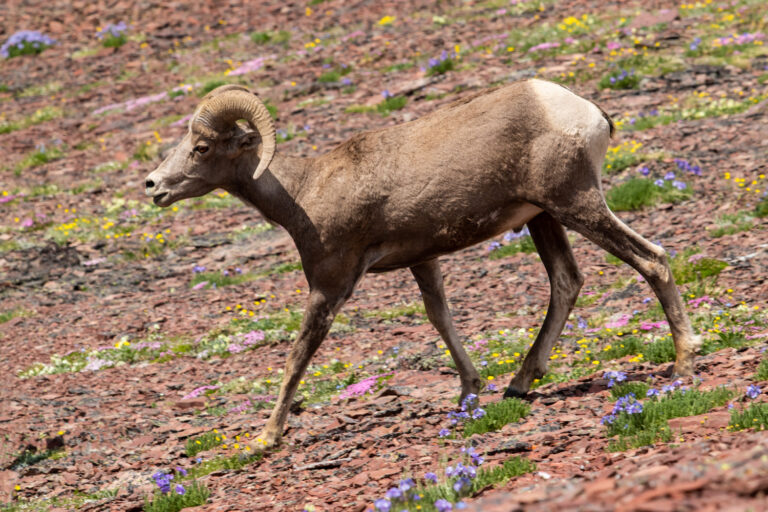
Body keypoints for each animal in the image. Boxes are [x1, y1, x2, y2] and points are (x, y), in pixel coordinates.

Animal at [144, 80, 704, 448]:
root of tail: (584, 111)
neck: (304, 192)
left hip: (576, 205)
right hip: (546, 217)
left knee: (652, 261)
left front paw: (266, 436)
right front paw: (469, 394)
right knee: (566, 282)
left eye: (202, 147)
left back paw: (682, 364)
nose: (153, 186)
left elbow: (298, 355)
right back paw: (519, 384)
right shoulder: (424, 261)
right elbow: (441, 319)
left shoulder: (331, 284)